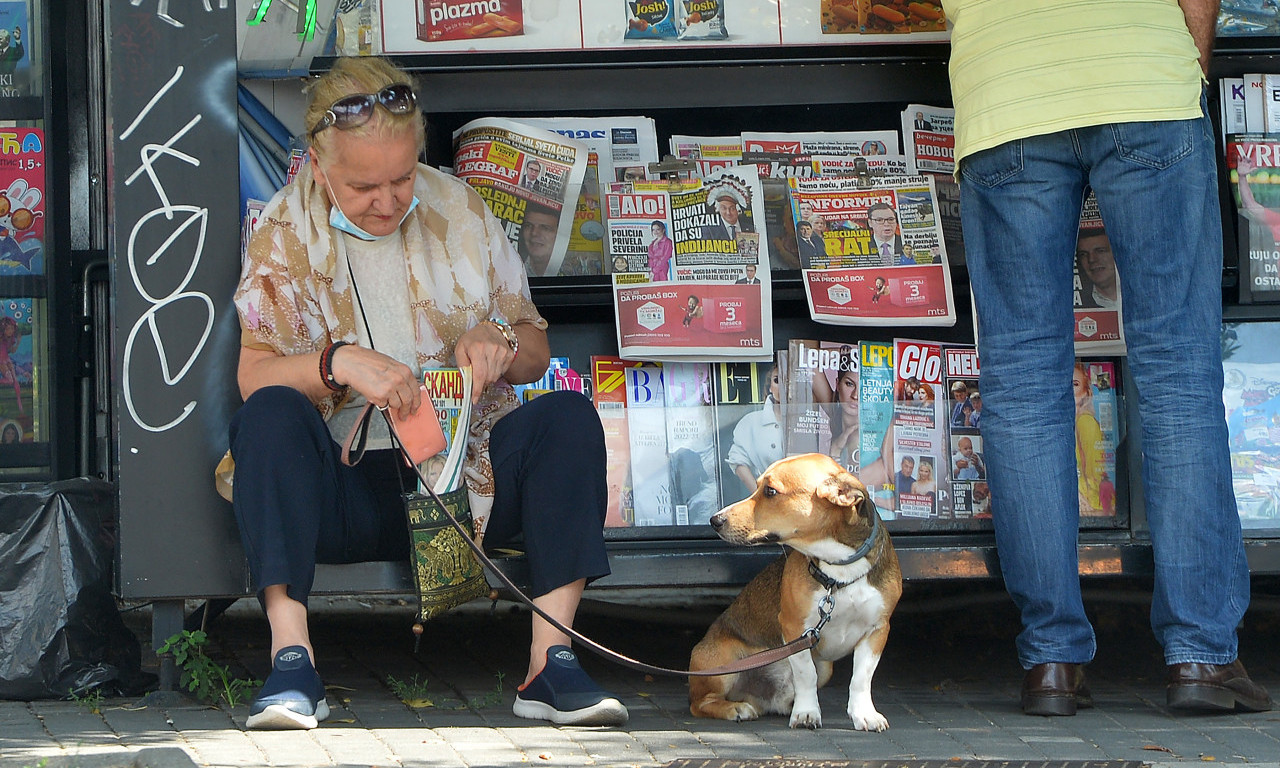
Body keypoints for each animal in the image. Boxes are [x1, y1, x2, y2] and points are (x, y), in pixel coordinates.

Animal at [691, 455, 901, 732]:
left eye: (770, 491)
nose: (715, 520)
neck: (839, 571)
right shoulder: (796, 630)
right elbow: (805, 675)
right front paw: (807, 713)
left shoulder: (877, 631)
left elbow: (861, 678)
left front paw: (863, 714)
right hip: (721, 663)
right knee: (700, 703)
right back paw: (734, 708)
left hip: (825, 667)